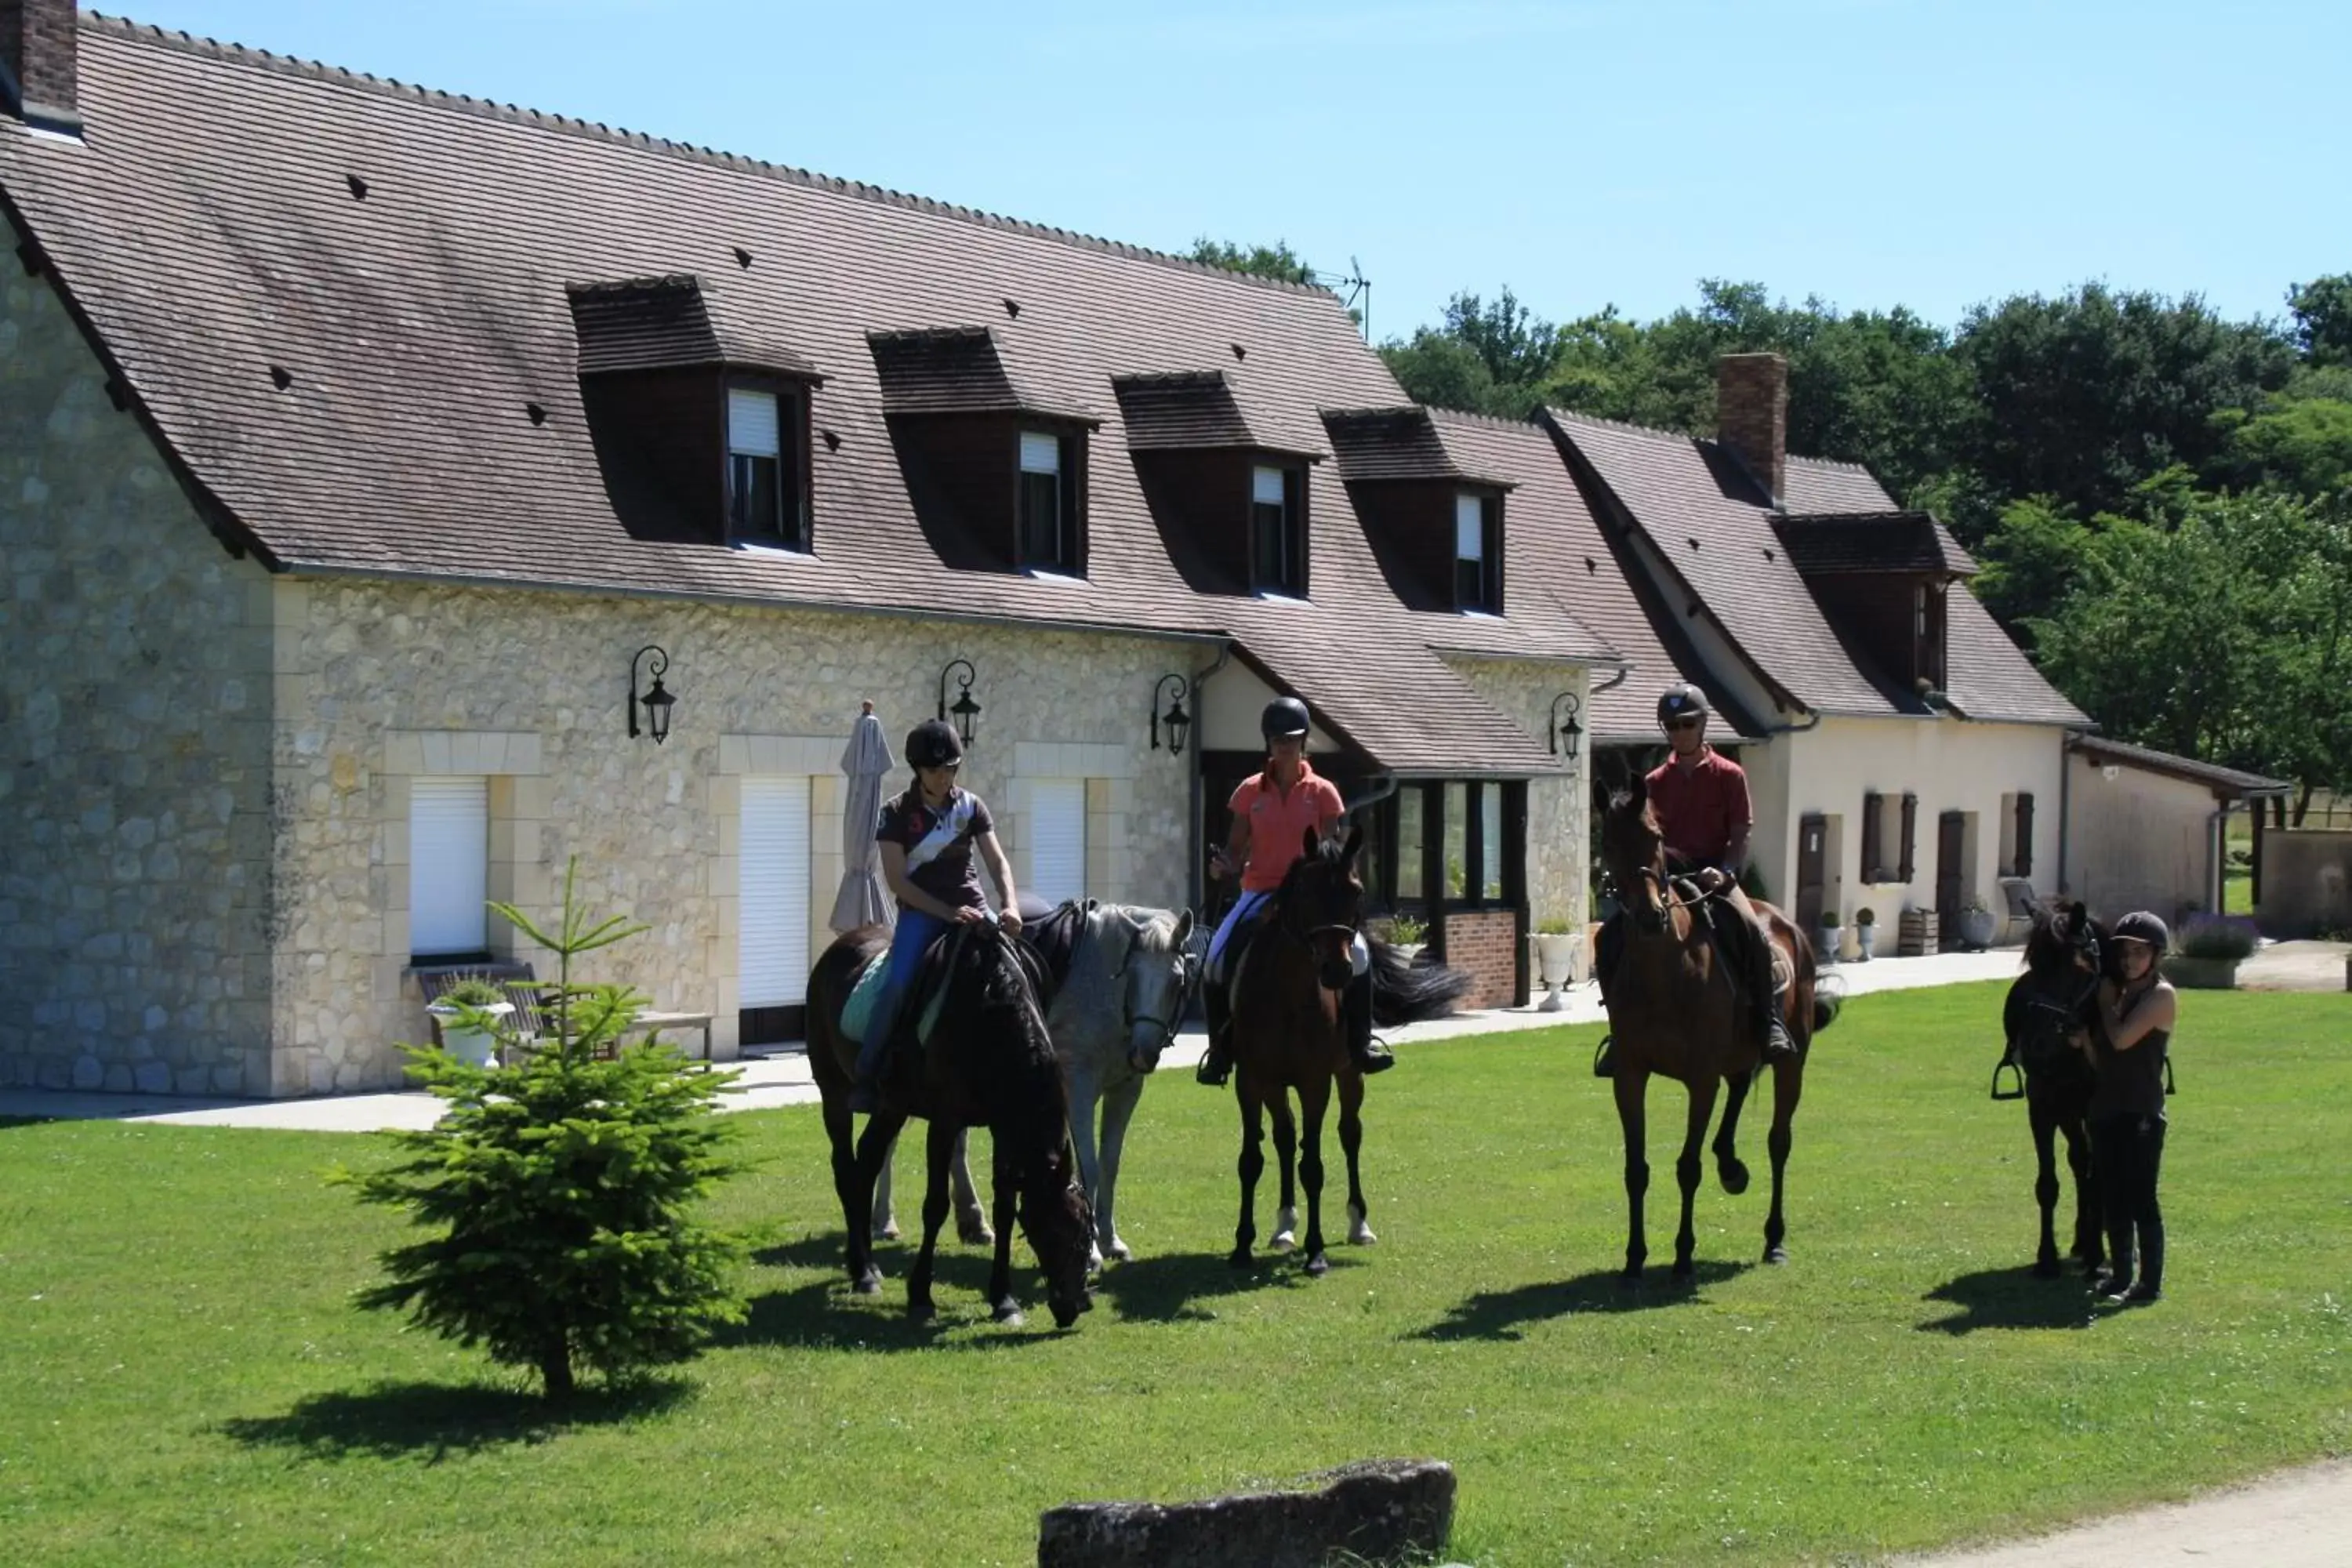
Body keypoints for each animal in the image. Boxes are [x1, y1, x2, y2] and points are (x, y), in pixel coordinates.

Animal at [804, 912, 1096, 1335]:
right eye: (1059, 1232)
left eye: (1085, 1231)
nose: (1079, 1304)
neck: (988, 1015)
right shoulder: (943, 1122)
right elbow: (935, 1206)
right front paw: (921, 1296)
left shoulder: (1003, 1127)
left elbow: (1005, 1206)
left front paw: (1004, 1299)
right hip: (834, 1094)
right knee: (846, 1169)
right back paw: (862, 1272)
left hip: (891, 1107)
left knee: (867, 1165)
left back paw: (869, 1267)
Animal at [1223, 822, 1458, 1279]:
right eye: (1307, 890)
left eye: (1356, 891)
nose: (1337, 971)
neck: (1286, 993)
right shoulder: (1252, 1079)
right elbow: (1250, 1160)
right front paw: (1242, 1244)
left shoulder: (1316, 1082)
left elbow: (1313, 1166)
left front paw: (1316, 1253)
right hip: (1276, 1085)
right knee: (1284, 1137)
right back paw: (1284, 1226)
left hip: (1350, 1075)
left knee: (1350, 1134)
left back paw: (1358, 1223)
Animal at [1599, 780, 1835, 1279]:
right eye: (1608, 844)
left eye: (1655, 837)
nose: (1650, 916)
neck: (1664, 973)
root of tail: (1792, 929)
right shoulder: (1629, 1076)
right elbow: (1636, 1169)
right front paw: (1634, 1260)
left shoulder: (1701, 1080)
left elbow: (1688, 1168)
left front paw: (1683, 1256)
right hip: (1739, 1056)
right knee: (1741, 1087)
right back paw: (1730, 1164)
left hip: (1793, 1065)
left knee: (1779, 1142)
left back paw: (1774, 1239)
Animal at [2004, 902, 2117, 1279]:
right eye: (2033, 965)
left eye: (2079, 968)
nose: (2036, 1044)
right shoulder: (2042, 1106)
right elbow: (2048, 1183)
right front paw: (2047, 1257)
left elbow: (2098, 1177)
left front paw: (2097, 1255)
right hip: (2067, 1113)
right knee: (2079, 1161)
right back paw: (2082, 1239)